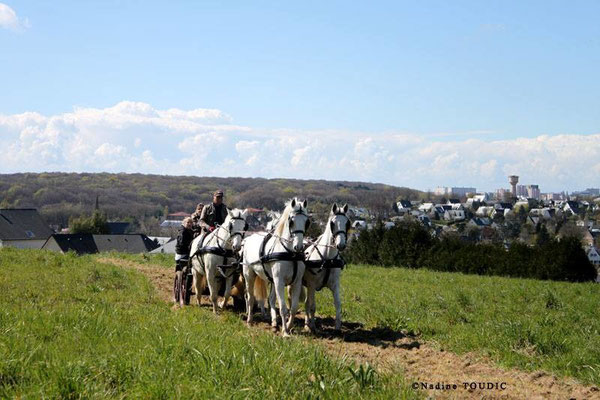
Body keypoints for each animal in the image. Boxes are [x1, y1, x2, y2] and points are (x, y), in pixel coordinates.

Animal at [243, 198, 312, 336]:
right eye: (291, 221)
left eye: (307, 222)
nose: (299, 247)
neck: (290, 254)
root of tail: (249, 238)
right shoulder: (279, 281)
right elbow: (283, 307)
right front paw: (285, 332)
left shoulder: (296, 282)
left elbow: (294, 307)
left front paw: (289, 327)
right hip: (249, 274)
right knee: (250, 297)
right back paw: (249, 320)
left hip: (271, 279)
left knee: (270, 299)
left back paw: (274, 323)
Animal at [304, 203, 352, 332]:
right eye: (332, 223)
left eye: (347, 223)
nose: (341, 244)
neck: (327, 259)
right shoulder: (312, 285)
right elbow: (313, 306)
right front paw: (314, 327)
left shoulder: (335, 285)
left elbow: (338, 304)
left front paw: (338, 327)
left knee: (306, 302)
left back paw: (306, 322)